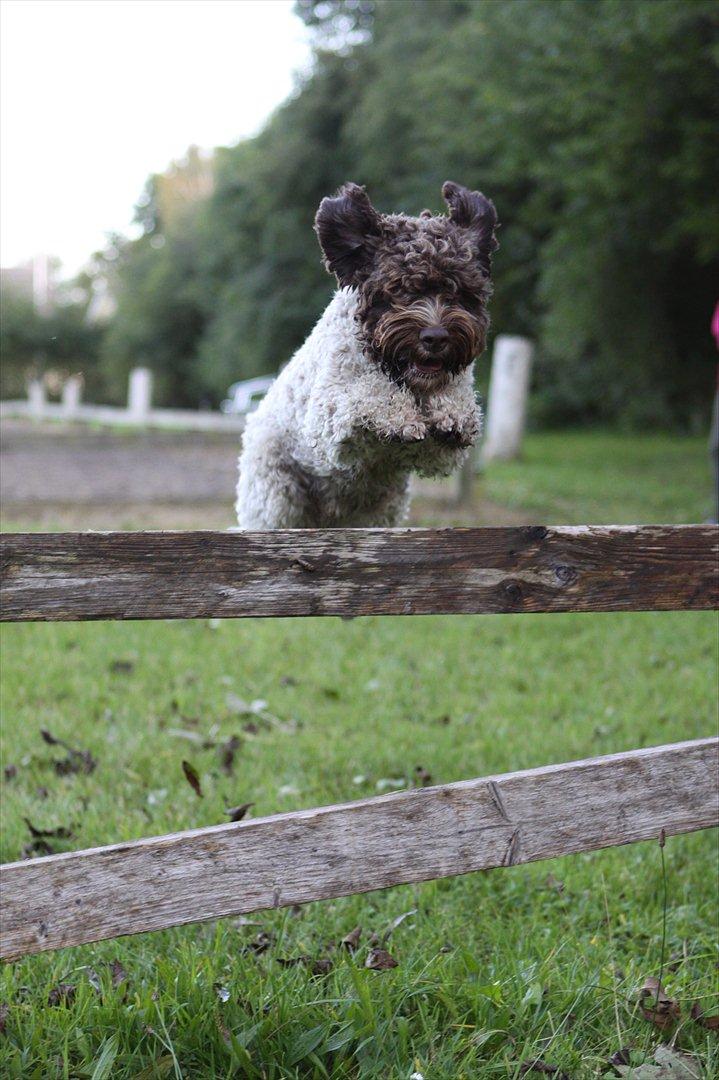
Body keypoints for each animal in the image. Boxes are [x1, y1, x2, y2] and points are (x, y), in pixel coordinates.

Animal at [235, 180, 492, 527]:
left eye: (460, 292)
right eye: (399, 289)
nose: (435, 336)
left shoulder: (436, 453)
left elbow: (453, 412)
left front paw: (453, 415)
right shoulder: (327, 421)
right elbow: (365, 396)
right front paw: (398, 416)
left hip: (383, 509)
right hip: (276, 495)